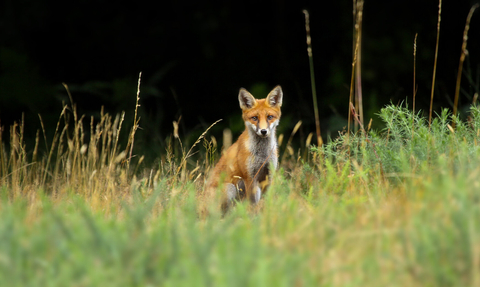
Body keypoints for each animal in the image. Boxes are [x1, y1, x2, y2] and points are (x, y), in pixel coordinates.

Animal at [205, 85, 282, 214]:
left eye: (270, 117)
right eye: (254, 118)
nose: (263, 131)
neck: (262, 155)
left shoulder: (269, 175)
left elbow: (267, 201)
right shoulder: (249, 177)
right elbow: (253, 202)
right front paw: (254, 216)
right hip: (230, 188)